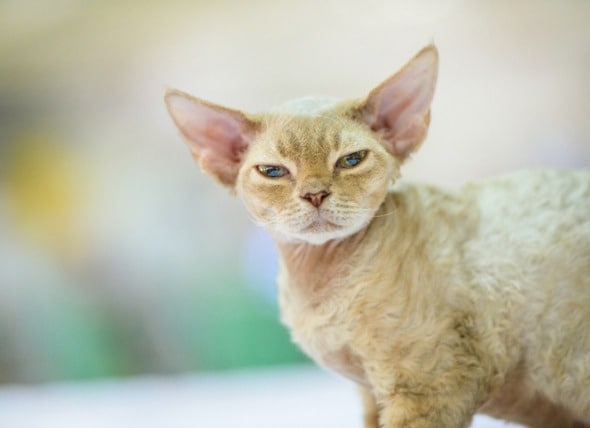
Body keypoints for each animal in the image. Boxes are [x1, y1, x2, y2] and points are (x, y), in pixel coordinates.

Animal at [163, 45, 590, 426]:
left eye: (351, 160)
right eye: (273, 172)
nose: (314, 193)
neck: (319, 284)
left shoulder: (428, 386)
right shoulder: (372, 393)